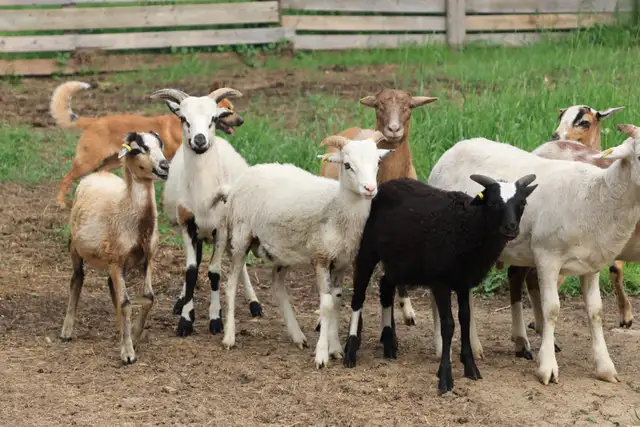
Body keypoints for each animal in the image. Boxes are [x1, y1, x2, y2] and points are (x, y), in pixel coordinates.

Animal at [59, 131, 169, 364]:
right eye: (138, 149)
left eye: (160, 145)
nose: (165, 166)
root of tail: (97, 174)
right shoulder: (117, 260)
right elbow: (126, 303)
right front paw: (128, 353)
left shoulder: (148, 259)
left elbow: (147, 298)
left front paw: (133, 337)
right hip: (76, 248)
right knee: (77, 279)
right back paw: (67, 331)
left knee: (112, 289)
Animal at [150, 87, 263, 338]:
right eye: (183, 118)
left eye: (212, 119)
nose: (200, 140)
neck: (203, 196)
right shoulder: (187, 226)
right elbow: (191, 271)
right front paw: (185, 319)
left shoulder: (220, 229)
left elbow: (214, 272)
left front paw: (215, 320)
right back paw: (181, 301)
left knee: (239, 262)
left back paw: (255, 304)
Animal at [217, 131, 394, 369]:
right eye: (347, 165)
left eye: (377, 163)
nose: (370, 189)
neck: (338, 208)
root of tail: (244, 176)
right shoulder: (321, 257)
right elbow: (326, 304)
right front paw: (322, 355)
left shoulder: (341, 263)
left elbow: (337, 301)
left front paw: (336, 349)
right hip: (240, 235)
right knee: (231, 284)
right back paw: (229, 337)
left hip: (283, 250)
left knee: (277, 285)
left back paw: (297, 336)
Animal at [342, 174, 537, 393]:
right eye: (493, 203)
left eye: (522, 203)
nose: (511, 228)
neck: (469, 226)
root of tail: (386, 184)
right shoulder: (440, 282)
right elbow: (448, 324)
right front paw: (445, 376)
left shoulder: (463, 282)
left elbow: (465, 319)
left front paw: (470, 368)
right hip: (367, 249)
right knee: (358, 296)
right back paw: (350, 351)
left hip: (399, 261)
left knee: (385, 287)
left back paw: (389, 343)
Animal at [426, 127, 640, 385]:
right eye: (639, 156)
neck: (595, 196)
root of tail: (450, 151)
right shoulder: (547, 256)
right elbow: (552, 309)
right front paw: (547, 367)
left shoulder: (591, 265)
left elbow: (595, 311)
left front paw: (605, 366)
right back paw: (447, 347)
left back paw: (470, 347)